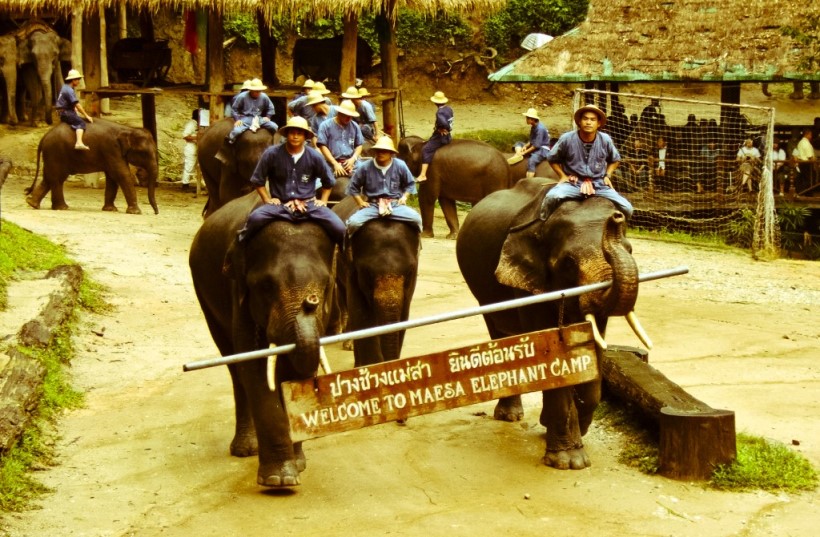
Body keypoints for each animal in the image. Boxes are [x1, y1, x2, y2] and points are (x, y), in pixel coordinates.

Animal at [26, 119, 159, 214]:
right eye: (144, 153)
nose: (156, 213)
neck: (128, 129)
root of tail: (44, 137)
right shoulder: (111, 149)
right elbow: (121, 174)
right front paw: (136, 212)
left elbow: (112, 178)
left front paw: (110, 210)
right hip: (55, 153)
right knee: (57, 178)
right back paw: (62, 208)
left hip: (52, 155)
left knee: (50, 177)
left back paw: (32, 204)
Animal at [189, 193, 336, 486]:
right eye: (266, 286)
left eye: (325, 286)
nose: (310, 302)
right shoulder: (239, 290)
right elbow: (254, 365)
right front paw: (280, 480)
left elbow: (293, 371)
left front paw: (298, 465)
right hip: (203, 292)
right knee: (234, 367)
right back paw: (246, 449)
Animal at [334, 195, 422, 366]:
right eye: (367, 273)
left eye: (409, 271)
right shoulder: (351, 268)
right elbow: (361, 314)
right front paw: (373, 365)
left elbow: (403, 315)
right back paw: (349, 346)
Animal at [454, 177, 648, 468]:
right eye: (568, 263)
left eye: (630, 250)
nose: (615, 217)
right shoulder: (526, 282)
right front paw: (569, 461)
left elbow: (591, 349)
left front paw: (573, 428)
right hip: (483, 292)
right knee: (499, 333)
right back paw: (509, 417)